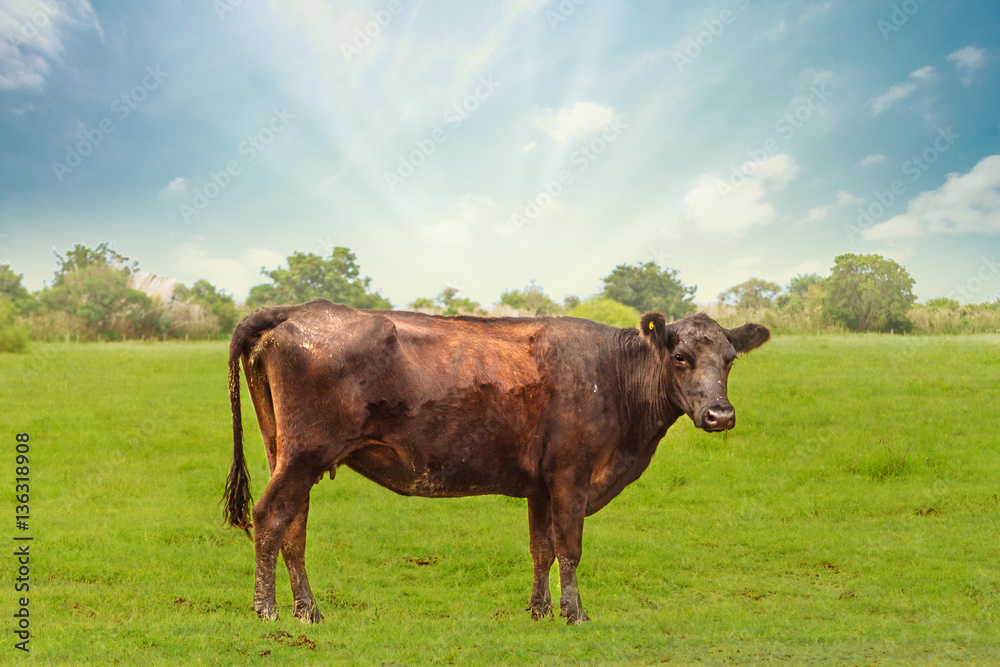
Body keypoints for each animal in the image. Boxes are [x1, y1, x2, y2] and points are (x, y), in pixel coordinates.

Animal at [225, 302, 772, 628]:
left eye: (730, 359)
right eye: (680, 357)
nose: (720, 415)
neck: (612, 376)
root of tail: (301, 308)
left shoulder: (541, 486)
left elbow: (541, 549)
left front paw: (539, 610)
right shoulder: (571, 477)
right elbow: (569, 548)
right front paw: (574, 615)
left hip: (287, 453)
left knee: (293, 526)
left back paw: (308, 610)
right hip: (304, 454)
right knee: (269, 517)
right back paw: (266, 609)